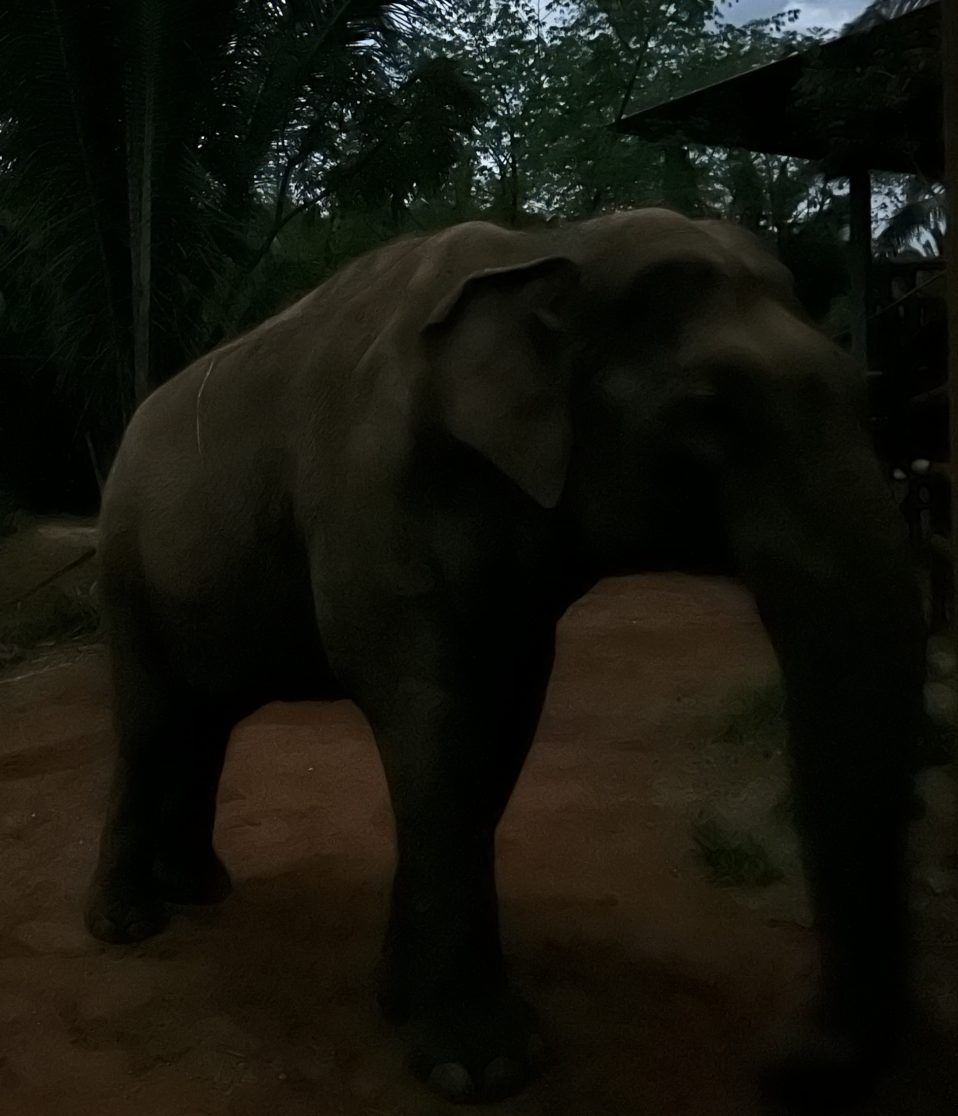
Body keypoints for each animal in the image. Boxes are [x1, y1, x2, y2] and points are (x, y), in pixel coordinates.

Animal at [85, 208, 926, 1106]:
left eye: (864, 391)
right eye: (710, 412)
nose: (781, 1063)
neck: (550, 252)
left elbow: (500, 727)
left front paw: (397, 1000)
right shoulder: (373, 498)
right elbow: (435, 722)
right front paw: (484, 1070)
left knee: (202, 723)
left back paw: (202, 892)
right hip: (125, 564)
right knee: (149, 723)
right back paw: (128, 927)